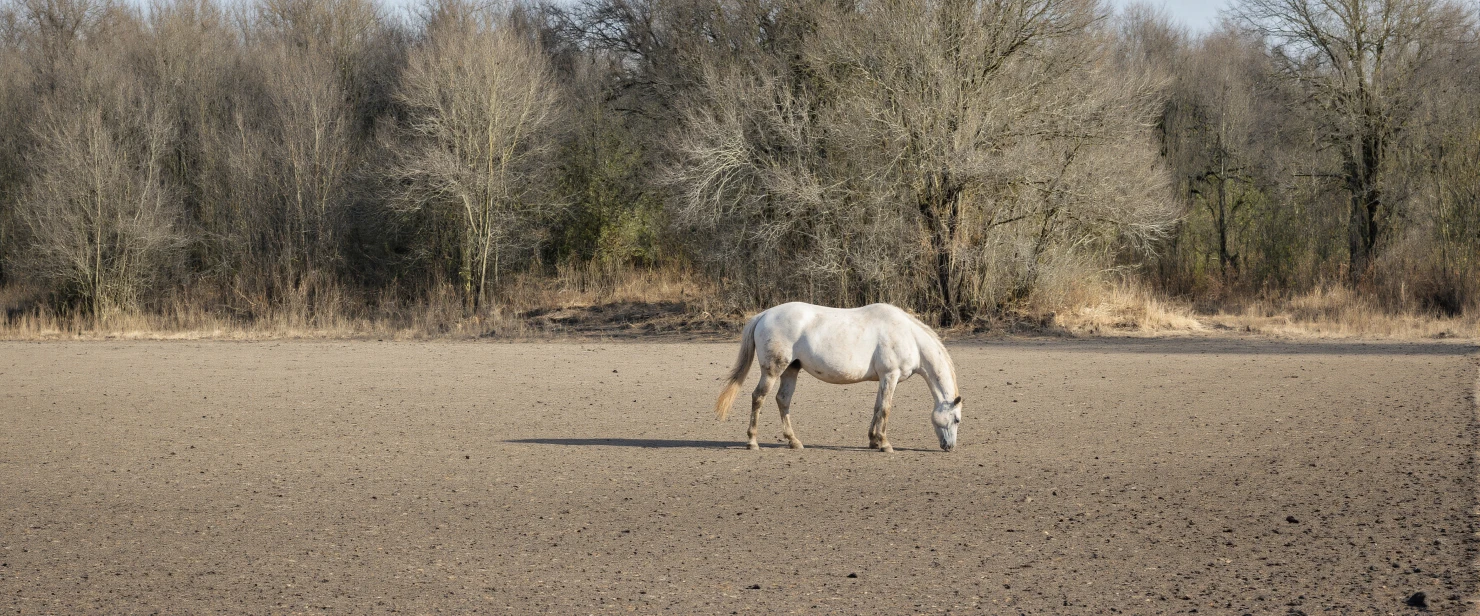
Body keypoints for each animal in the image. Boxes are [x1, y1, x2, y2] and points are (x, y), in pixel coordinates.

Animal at [713, 302, 963, 452]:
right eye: (957, 419)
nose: (949, 446)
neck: (908, 335)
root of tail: (764, 314)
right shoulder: (890, 376)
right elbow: (885, 409)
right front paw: (885, 444)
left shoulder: (883, 379)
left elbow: (876, 407)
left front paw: (873, 440)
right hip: (773, 370)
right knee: (758, 398)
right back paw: (752, 441)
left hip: (791, 370)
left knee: (782, 400)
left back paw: (794, 441)